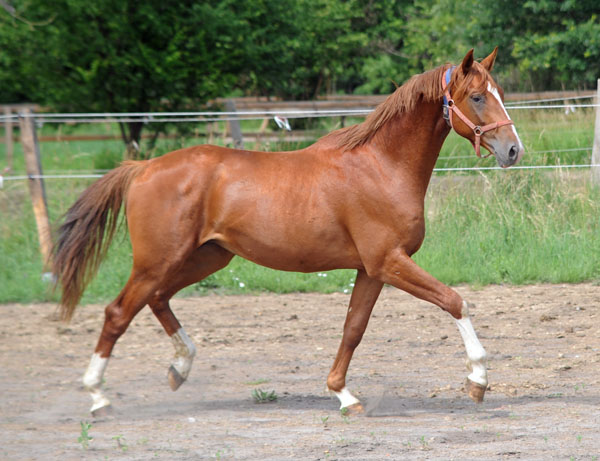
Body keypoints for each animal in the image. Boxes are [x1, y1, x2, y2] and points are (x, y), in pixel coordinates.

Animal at [56, 48, 524, 416]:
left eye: (501, 93)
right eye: (478, 96)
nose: (513, 150)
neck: (381, 165)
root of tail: (143, 168)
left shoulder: (371, 270)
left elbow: (353, 328)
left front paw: (344, 395)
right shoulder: (389, 261)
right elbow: (454, 300)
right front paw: (478, 380)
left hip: (205, 257)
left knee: (157, 300)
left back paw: (179, 368)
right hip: (159, 260)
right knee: (118, 313)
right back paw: (98, 397)